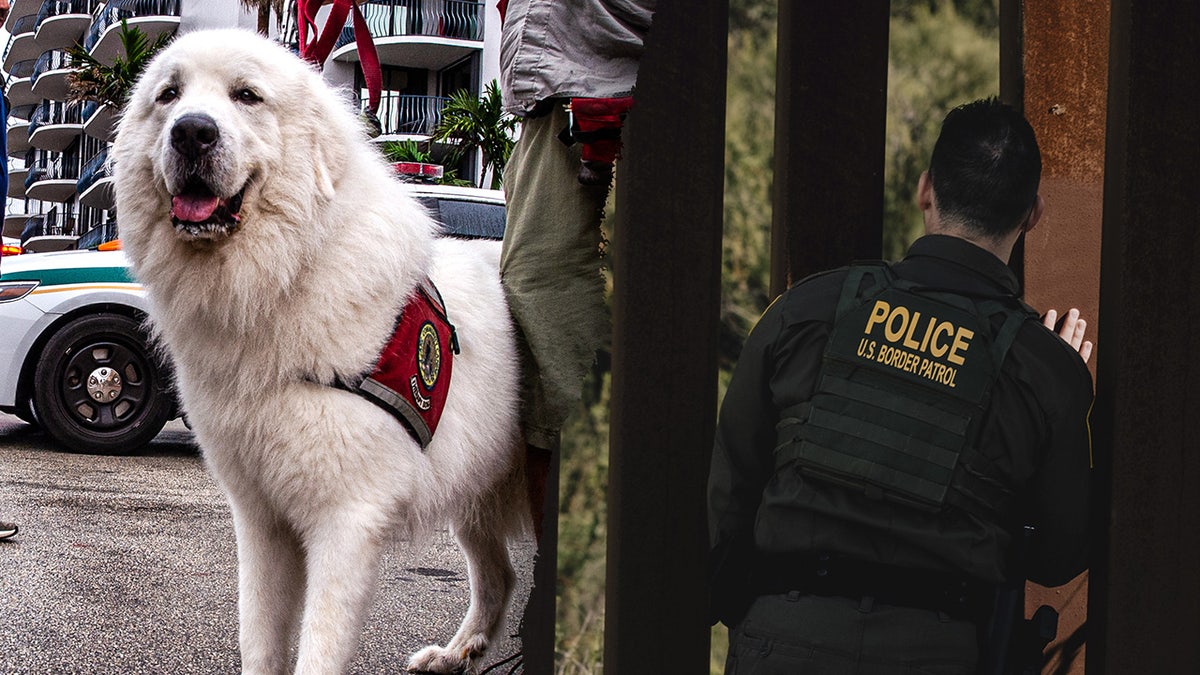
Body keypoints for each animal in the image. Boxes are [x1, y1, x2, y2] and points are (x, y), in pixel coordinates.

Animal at [111, 28, 530, 667]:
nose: (191, 131)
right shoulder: (260, 519)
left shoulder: (347, 521)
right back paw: (456, 653)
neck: (283, 275)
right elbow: (259, 638)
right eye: (169, 95)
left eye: (247, 95)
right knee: (498, 576)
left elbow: (319, 649)